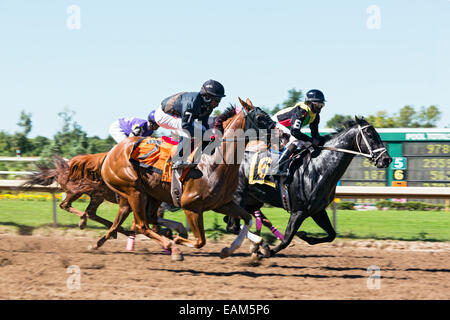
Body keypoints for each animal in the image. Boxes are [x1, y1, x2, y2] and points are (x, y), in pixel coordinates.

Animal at [99, 97, 280, 260]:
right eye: (260, 117)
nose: (281, 134)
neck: (215, 161)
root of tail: (112, 152)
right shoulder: (191, 206)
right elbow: (201, 241)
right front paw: (177, 240)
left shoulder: (222, 204)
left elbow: (248, 219)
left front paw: (232, 249)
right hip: (134, 191)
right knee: (140, 225)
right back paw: (172, 246)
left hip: (153, 194)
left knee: (149, 218)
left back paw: (175, 232)